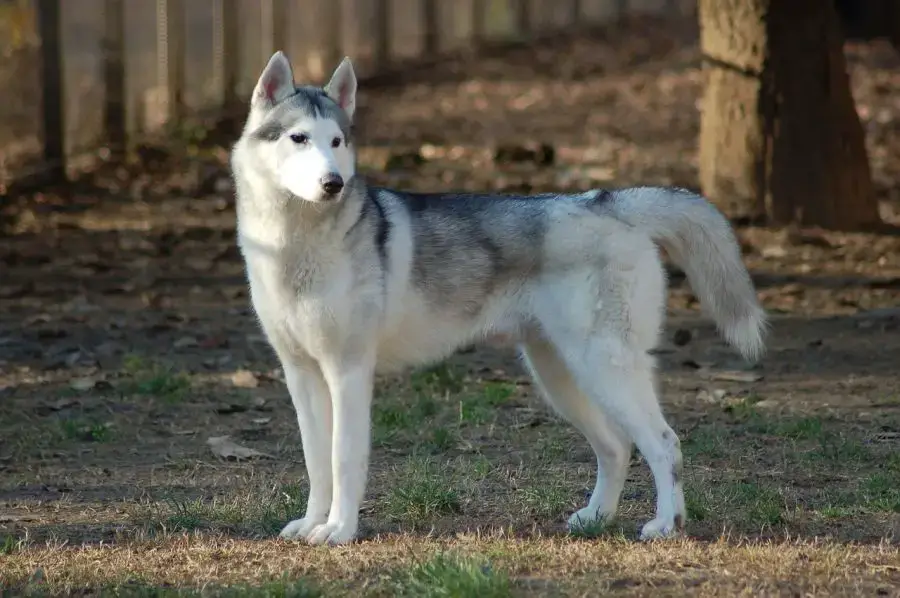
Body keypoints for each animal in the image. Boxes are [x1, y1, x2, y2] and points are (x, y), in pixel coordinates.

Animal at [230, 52, 768, 548]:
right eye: (299, 138)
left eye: (336, 142)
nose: (333, 184)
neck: (294, 245)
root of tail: (606, 201)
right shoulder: (301, 374)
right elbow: (316, 461)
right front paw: (312, 523)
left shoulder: (349, 371)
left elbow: (343, 460)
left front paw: (339, 530)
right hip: (559, 375)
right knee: (616, 446)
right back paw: (597, 518)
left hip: (604, 367)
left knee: (664, 443)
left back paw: (666, 525)